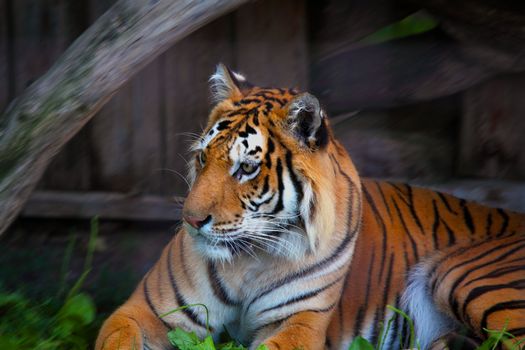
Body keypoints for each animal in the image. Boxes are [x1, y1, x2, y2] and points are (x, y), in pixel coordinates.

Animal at [94, 64, 524, 348]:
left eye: (245, 168)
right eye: (203, 158)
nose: (191, 220)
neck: (249, 260)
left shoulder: (298, 324)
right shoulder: (144, 310)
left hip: (467, 276)